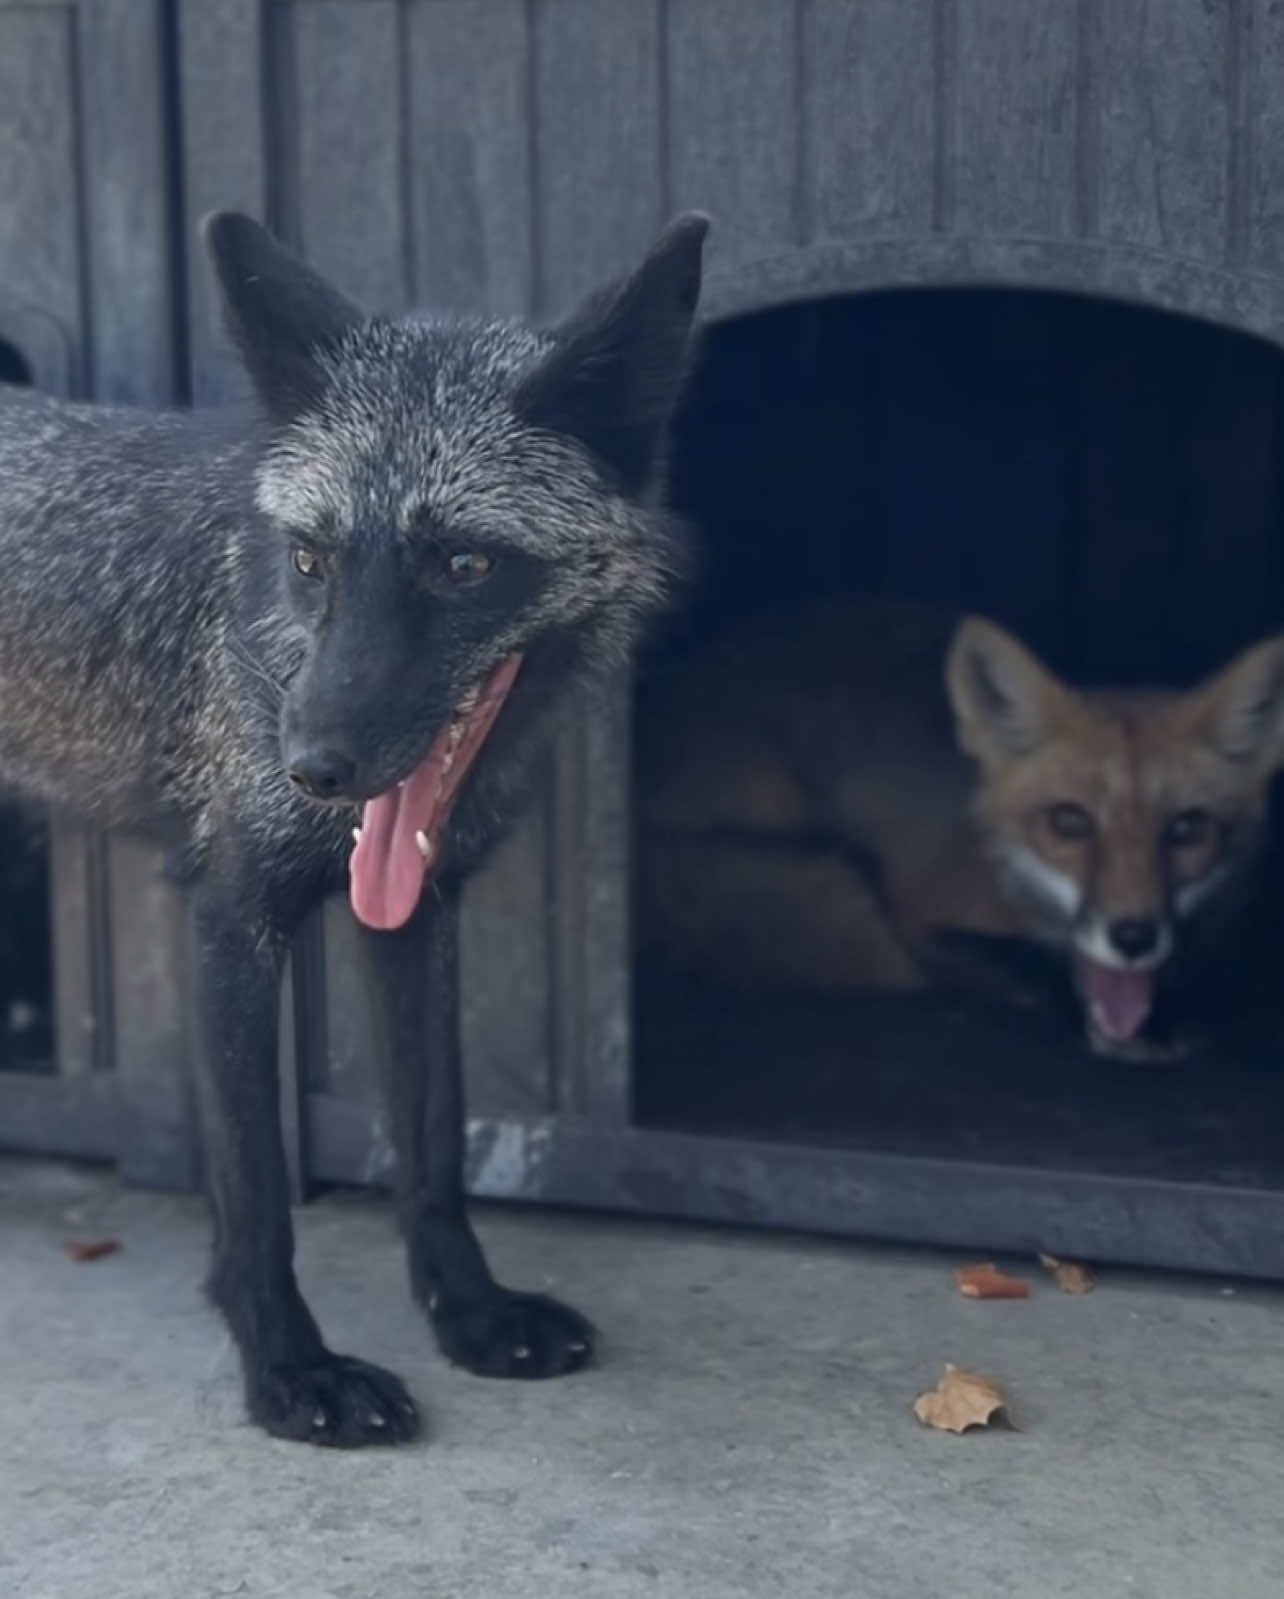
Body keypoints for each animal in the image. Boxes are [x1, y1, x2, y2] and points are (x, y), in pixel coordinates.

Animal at [0, 208, 708, 1445]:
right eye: (311, 559)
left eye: (466, 564)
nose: (314, 769)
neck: (269, 635)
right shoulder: (228, 919)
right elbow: (256, 1196)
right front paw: (290, 1373)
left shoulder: (414, 917)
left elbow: (432, 1143)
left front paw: (470, 1313)